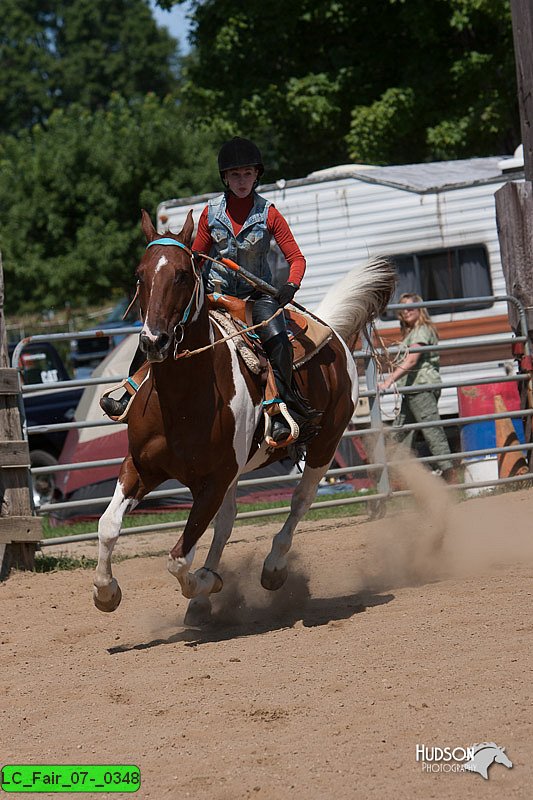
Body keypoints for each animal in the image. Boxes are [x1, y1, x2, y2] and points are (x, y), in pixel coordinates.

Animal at [91, 209, 394, 620]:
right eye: (140, 275)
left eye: (182, 274)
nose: (153, 341)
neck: (180, 402)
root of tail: (331, 330)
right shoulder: (141, 467)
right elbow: (108, 525)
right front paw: (106, 593)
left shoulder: (213, 482)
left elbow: (178, 559)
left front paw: (206, 582)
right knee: (228, 522)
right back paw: (204, 602)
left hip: (325, 445)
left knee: (300, 501)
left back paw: (272, 569)